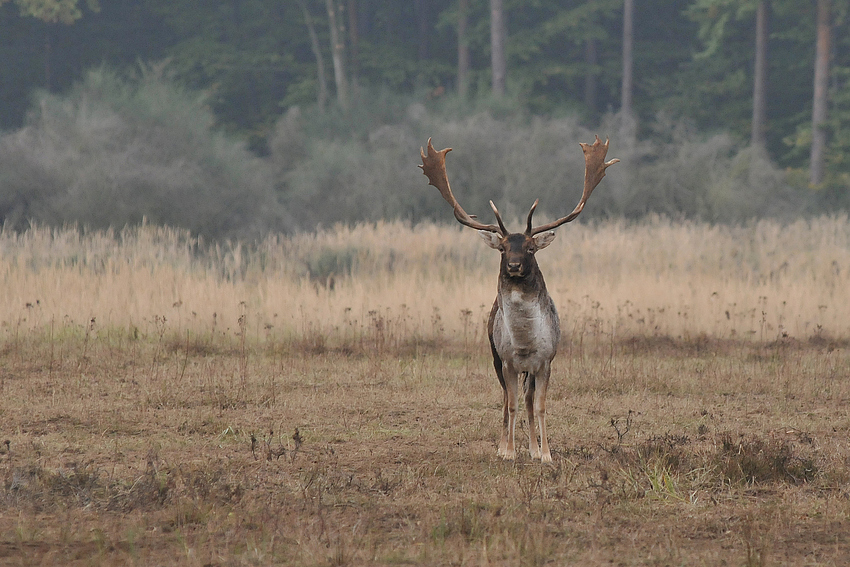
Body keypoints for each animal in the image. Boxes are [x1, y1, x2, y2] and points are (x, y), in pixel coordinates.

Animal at [418, 136, 616, 462]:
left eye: (531, 248)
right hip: (494, 356)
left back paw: (533, 449)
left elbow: (540, 406)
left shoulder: (546, 361)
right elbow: (510, 404)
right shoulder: (508, 360)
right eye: (502, 249)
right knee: (506, 398)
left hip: (530, 370)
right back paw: (504, 445)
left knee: (529, 399)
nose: (513, 265)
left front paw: (545, 454)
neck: (525, 343)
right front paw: (508, 451)